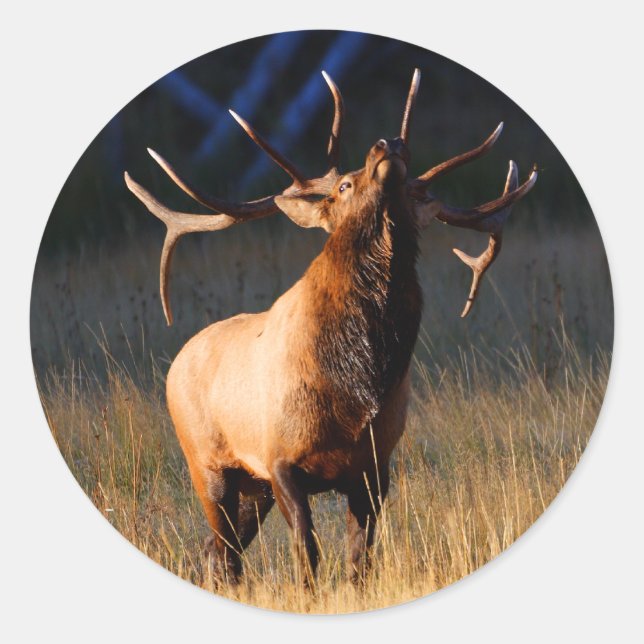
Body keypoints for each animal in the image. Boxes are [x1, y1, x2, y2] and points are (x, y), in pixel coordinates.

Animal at [124, 68, 537, 587]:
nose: (389, 143)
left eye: (414, 192)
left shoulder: (374, 467)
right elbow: (308, 551)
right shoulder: (280, 459)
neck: (356, 387)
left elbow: (361, 562)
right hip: (207, 462)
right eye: (342, 185)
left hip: (252, 485)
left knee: (217, 552)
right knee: (222, 550)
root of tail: (176, 362)